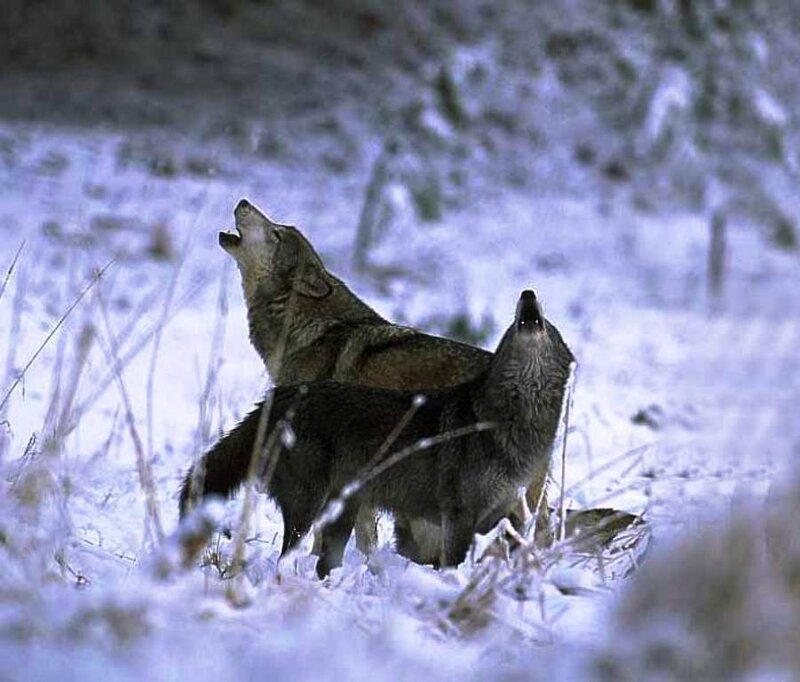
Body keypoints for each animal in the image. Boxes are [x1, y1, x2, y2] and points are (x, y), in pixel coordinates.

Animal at [180, 290, 574, 577]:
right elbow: (452, 565)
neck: (508, 423)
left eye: (550, 325)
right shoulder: (457, 516)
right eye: (512, 323)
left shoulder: (508, 515)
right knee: (288, 557)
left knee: (325, 563)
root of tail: (280, 398)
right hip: (311, 507)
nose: (528, 293)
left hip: (342, 511)